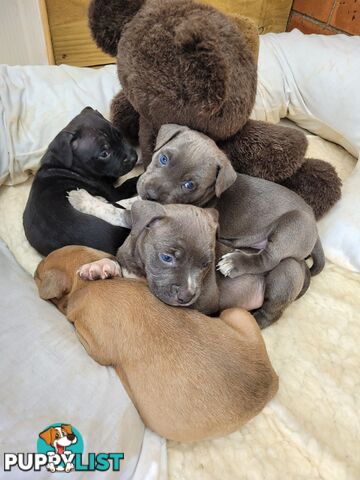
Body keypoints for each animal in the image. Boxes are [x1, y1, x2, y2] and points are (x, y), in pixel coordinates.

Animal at [35, 248, 278, 442]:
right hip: (237, 314)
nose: (36, 268)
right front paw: (100, 268)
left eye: (37, 275)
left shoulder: (94, 343)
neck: (85, 286)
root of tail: (273, 381)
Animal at [136, 124, 324, 326]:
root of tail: (314, 226)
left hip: (293, 226)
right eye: (163, 158)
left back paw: (235, 266)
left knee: (269, 261)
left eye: (190, 185)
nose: (150, 195)